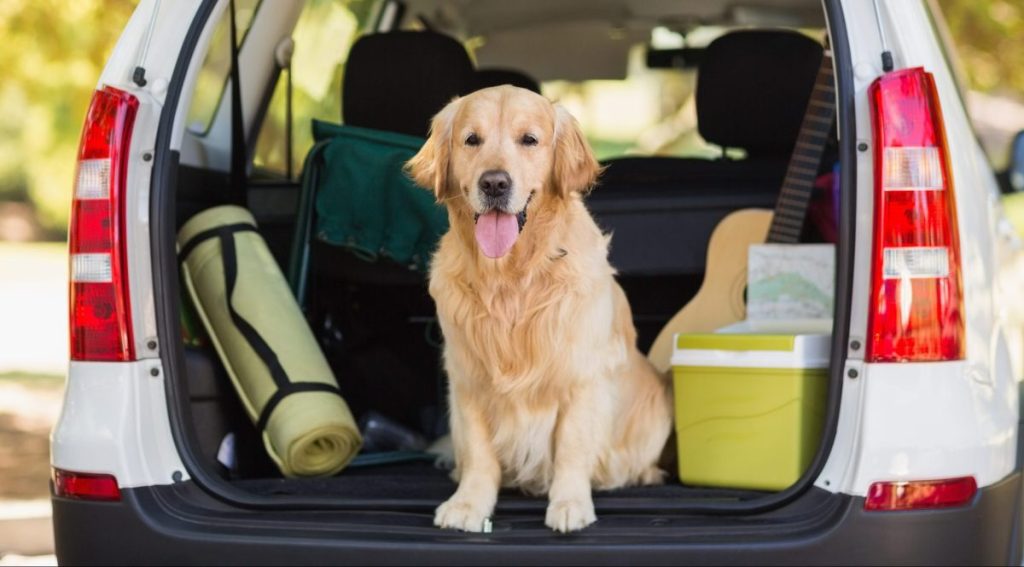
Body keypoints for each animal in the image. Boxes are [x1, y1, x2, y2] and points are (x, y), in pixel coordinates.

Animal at [407, 85, 671, 532]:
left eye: (529, 140)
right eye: (471, 139)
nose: (495, 183)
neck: (511, 278)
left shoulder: (582, 377)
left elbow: (572, 447)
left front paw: (569, 504)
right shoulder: (467, 377)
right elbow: (478, 452)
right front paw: (469, 504)